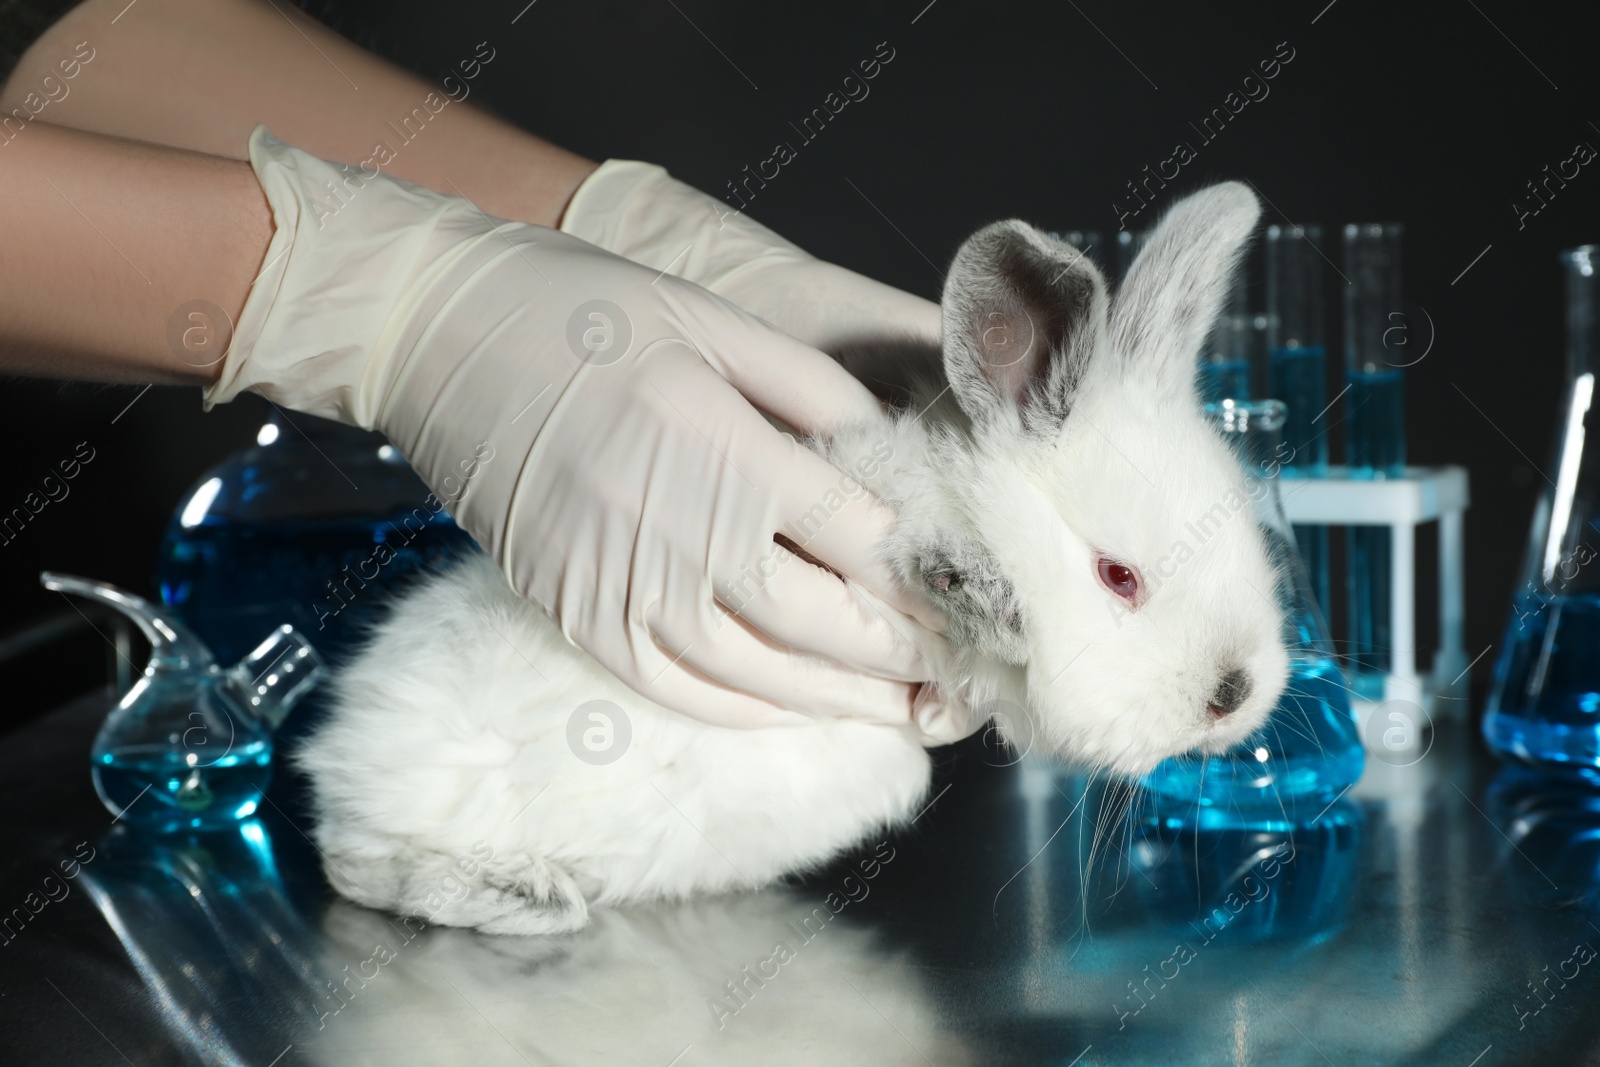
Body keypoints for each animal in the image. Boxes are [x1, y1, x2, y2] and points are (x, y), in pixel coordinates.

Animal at [300, 181, 1292, 934]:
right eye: (1118, 576)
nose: (1236, 694)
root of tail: (335, 756)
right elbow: (918, 535)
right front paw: (983, 594)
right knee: (363, 867)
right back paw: (526, 896)